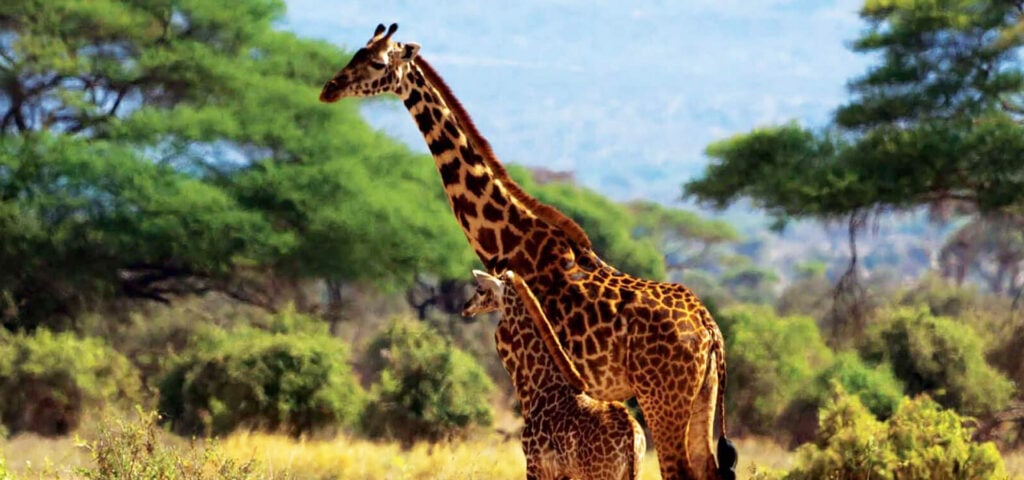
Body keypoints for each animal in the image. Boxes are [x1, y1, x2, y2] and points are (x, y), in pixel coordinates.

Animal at [464, 269, 645, 480]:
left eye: (480, 289)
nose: (466, 307)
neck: (539, 386)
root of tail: (632, 439)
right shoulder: (564, 473)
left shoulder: (535, 465)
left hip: (601, 474)